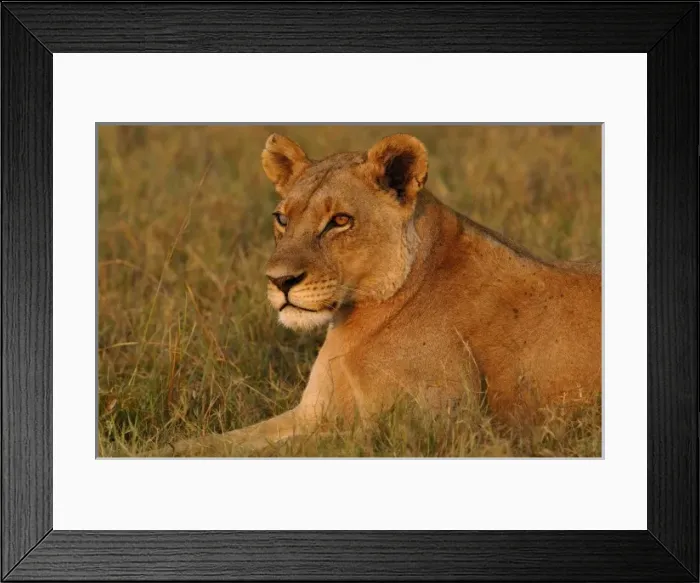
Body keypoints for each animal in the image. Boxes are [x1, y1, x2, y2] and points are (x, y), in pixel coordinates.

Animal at [147, 133, 601, 457]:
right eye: (281, 218)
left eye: (339, 221)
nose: (279, 281)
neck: (354, 322)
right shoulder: (310, 413)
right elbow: (211, 444)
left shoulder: (431, 431)